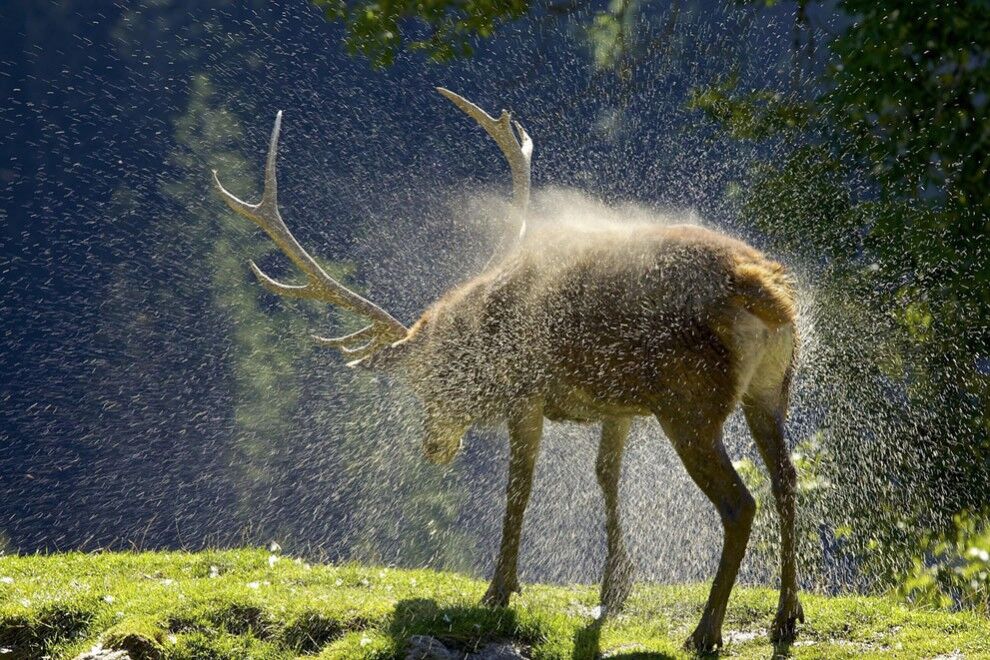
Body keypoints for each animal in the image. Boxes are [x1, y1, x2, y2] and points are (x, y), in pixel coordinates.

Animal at [211, 86, 808, 648]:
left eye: (427, 379)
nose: (433, 447)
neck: (488, 330)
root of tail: (766, 292)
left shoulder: (528, 393)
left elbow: (519, 487)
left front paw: (499, 588)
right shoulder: (618, 404)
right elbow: (606, 475)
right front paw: (614, 587)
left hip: (691, 403)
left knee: (740, 503)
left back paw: (707, 630)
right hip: (769, 390)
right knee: (786, 478)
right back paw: (786, 616)